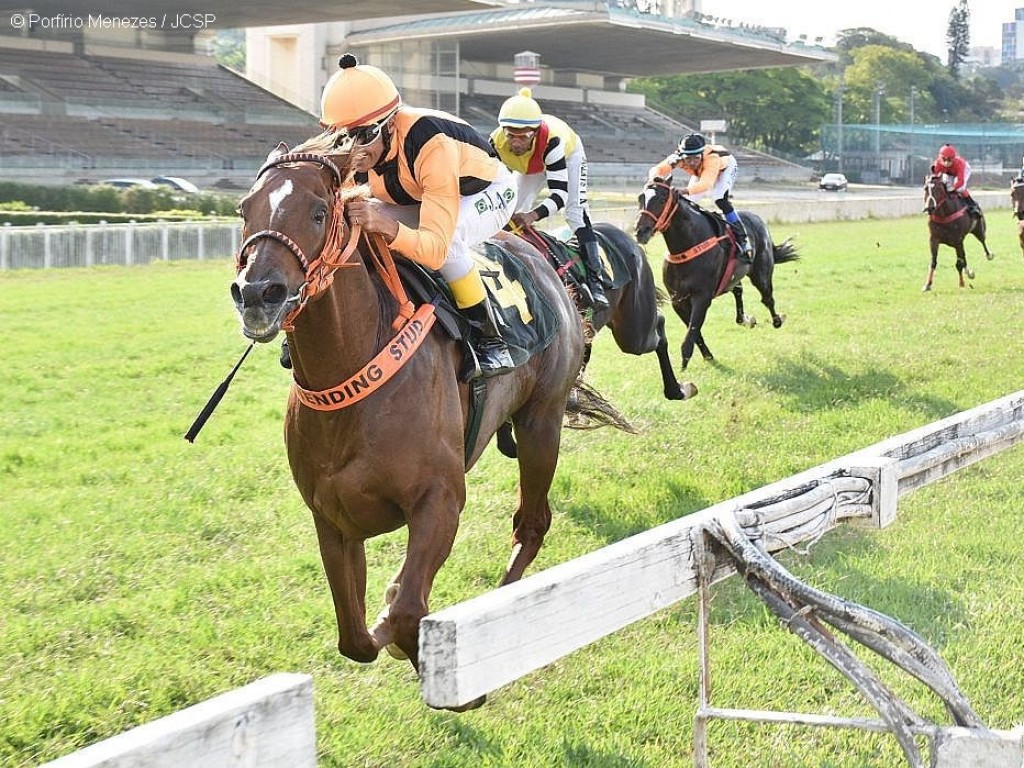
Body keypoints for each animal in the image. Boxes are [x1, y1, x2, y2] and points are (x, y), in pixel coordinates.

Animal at [230, 143, 614, 708]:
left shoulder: (439, 500)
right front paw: (390, 625)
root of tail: (541, 257)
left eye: (319, 213)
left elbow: (407, 609)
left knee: (532, 522)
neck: (351, 377)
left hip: (540, 423)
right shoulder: (332, 519)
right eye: (245, 210)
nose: (257, 293)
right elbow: (355, 638)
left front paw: (453, 674)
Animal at [630, 181, 798, 372]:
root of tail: (759, 219)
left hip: (760, 273)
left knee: (767, 297)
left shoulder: (702, 297)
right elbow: (694, 333)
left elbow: (691, 334)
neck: (686, 247)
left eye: (661, 199)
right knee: (738, 290)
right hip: (733, 276)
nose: (640, 230)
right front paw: (707, 356)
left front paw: (684, 366)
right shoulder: (677, 300)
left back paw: (777, 320)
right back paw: (745, 320)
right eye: (640, 198)